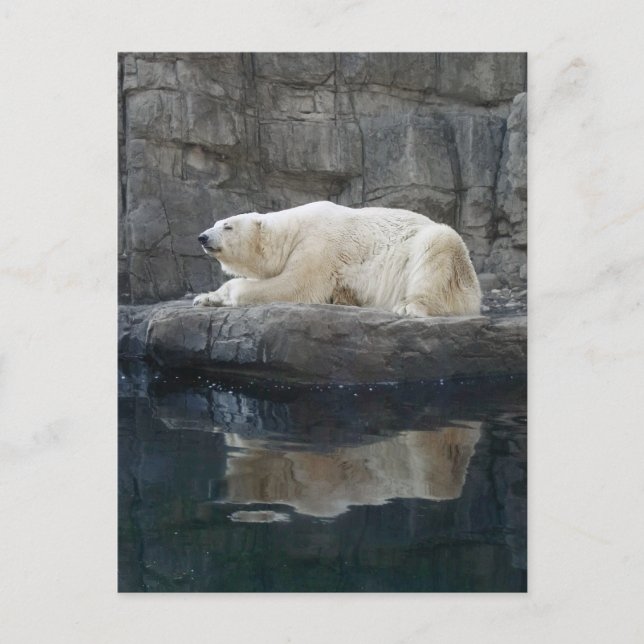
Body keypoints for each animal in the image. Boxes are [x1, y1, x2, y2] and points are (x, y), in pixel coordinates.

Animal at [193, 201, 481, 317]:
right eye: (215, 223)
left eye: (228, 226)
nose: (203, 237)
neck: (293, 229)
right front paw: (205, 297)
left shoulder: (319, 246)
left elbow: (295, 285)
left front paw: (231, 293)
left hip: (447, 255)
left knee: (437, 248)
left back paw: (408, 307)